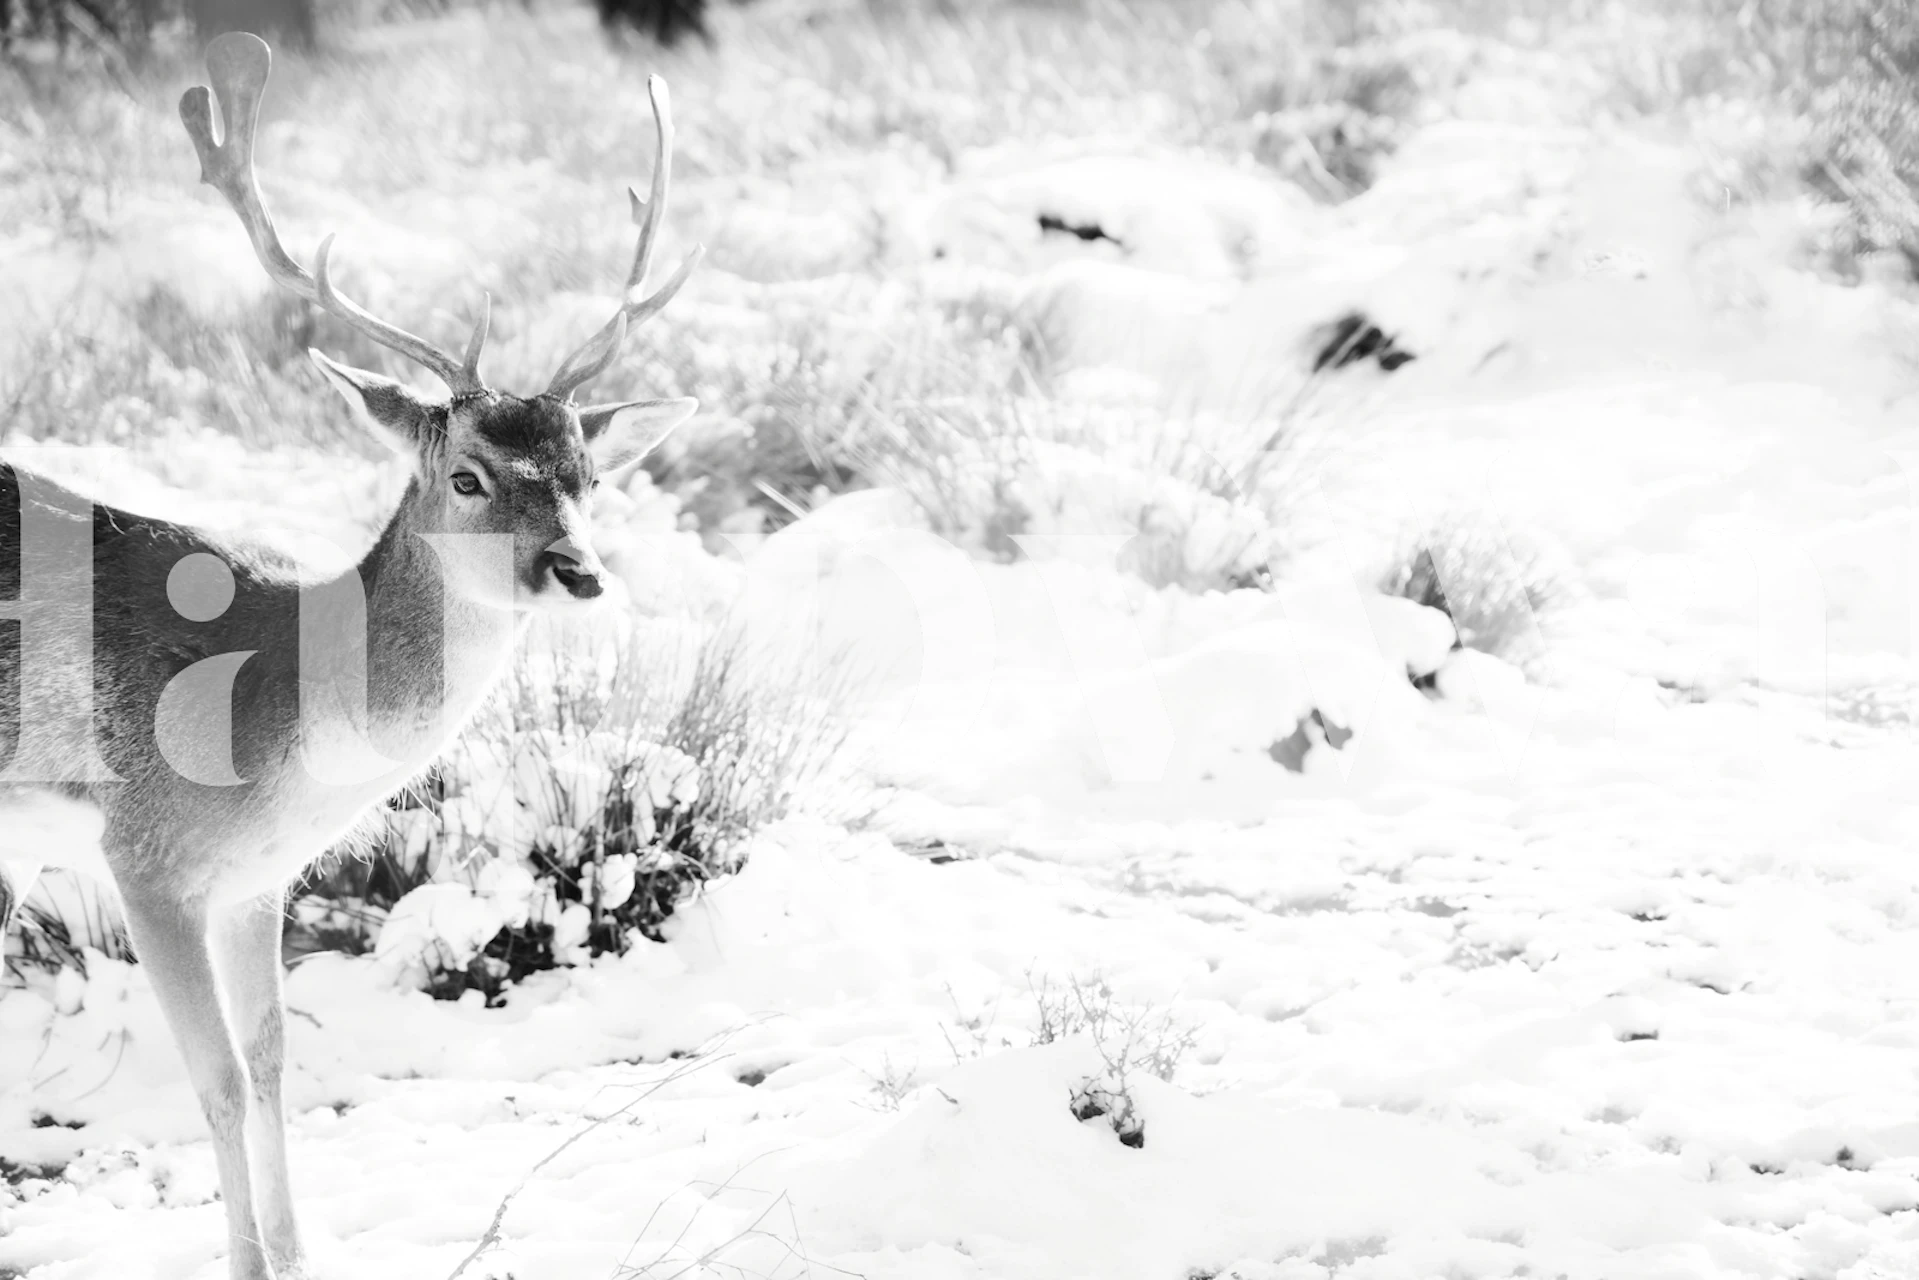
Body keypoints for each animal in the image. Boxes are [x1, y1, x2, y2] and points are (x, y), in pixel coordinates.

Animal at [0, 32, 703, 1280]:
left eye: (589, 472)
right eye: (467, 473)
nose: (578, 570)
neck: (274, 713)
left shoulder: (255, 879)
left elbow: (274, 1063)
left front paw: (292, 1252)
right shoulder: (145, 853)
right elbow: (218, 1081)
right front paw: (241, 1260)